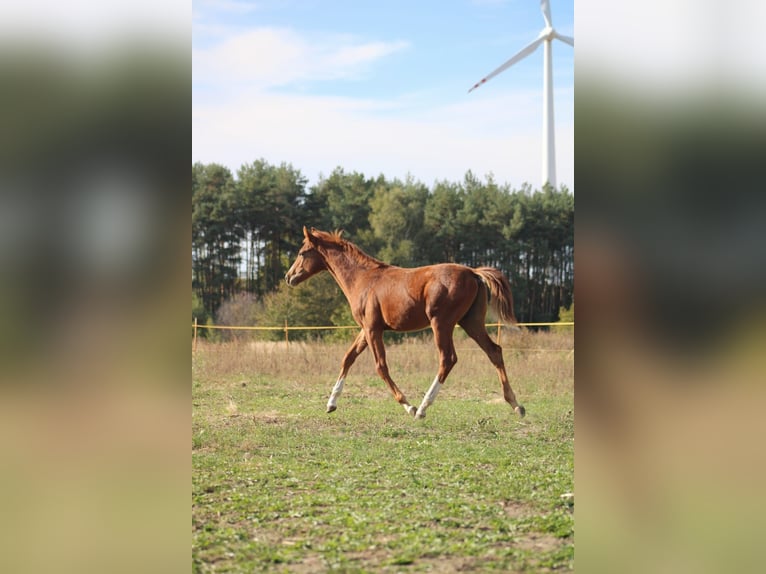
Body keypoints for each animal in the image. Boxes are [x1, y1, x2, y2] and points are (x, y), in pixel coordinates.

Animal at [284, 227, 524, 420]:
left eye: (302, 252)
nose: (289, 277)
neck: (364, 279)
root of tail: (473, 272)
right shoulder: (366, 329)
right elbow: (348, 358)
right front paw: (331, 403)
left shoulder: (373, 329)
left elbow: (380, 366)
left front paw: (408, 406)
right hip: (471, 322)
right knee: (494, 351)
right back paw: (516, 405)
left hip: (442, 323)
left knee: (448, 359)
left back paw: (423, 408)